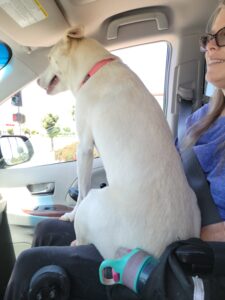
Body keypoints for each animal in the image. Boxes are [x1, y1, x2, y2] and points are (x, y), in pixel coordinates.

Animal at [37, 27, 201, 258]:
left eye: (50, 58)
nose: (36, 81)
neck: (95, 69)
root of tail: (166, 248)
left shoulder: (84, 147)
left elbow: (81, 192)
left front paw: (70, 214)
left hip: (94, 201)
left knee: (84, 230)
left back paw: (77, 241)